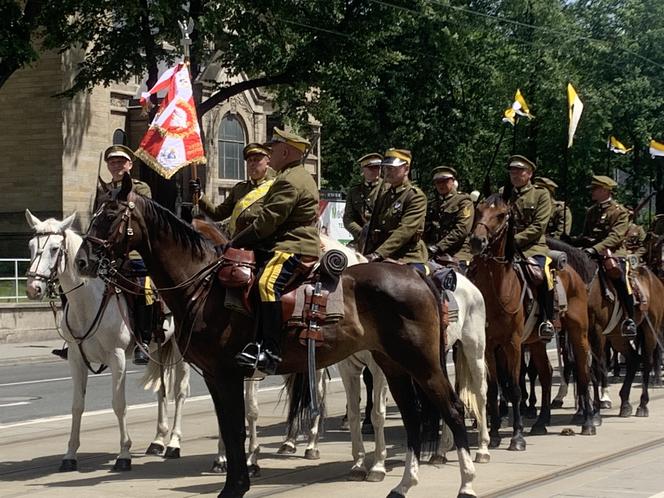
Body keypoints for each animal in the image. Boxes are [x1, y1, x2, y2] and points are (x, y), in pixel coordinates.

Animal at [24, 209, 183, 470]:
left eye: (55, 249)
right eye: (30, 246)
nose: (33, 288)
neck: (87, 302)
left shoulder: (117, 357)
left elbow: (119, 405)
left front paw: (124, 455)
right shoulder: (76, 359)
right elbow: (77, 406)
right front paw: (70, 455)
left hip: (182, 350)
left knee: (179, 391)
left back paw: (174, 444)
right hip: (159, 348)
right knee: (161, 389)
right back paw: (158, 440)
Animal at [72, 173, 478, 496]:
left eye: (110, 215)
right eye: (94, 213)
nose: (82, 262)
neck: (204, 284)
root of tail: (418, 275)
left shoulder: (227, 373)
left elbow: (235, 430)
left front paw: (236, 484)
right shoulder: (217, 377)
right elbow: (229, 430)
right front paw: (235, 482)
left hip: (422, 363)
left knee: (453, 410)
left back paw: (467, 483)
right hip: (393, 365)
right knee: (412, 416)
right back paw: (404, 484)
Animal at [466, 195, 596, 452]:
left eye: (501, 215)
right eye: (479, 210)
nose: (477, 241)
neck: (497, 289)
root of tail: (572, 271)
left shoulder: (513, 344)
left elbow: (515, 388)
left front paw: (516, 437)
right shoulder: (489, 346)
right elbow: (494, 388)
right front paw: (494, 434)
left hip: (578, 332)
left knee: (583, 371)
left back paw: (587, 421)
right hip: (536, 341)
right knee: (546, 373)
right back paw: (541, 421)